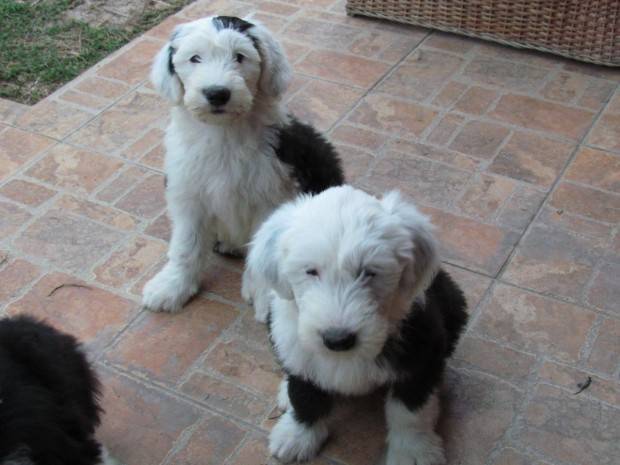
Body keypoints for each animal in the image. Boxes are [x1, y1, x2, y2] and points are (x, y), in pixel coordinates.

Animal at [143, 15, 342, 312]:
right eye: (195, 58)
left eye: (239, 57)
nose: (217, 93)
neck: (224, 133)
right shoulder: (189, 193)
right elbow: (186, 245)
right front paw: (172, 286)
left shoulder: (270, 196)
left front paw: (266, 297)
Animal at [245, 186, 468, 464]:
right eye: (311, 271)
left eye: (369, 272)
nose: (337, 340)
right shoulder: (294, 345)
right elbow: (304, 393)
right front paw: (298, 436)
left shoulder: (420, 353)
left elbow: (410, 412)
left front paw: (412, 451)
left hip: (453, 303)